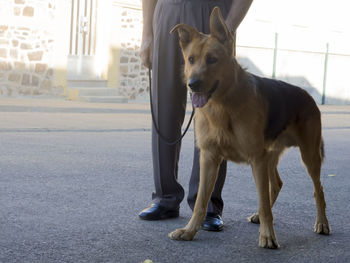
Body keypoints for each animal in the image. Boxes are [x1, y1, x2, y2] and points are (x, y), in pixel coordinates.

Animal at [168, 6, 330, 250]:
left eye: (212, 59)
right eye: (191, 59)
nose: (192, 84)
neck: (223, 106)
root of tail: (308, 95)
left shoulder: (256, 159)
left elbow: (263, 203)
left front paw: (268, 236)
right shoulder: (209, 158)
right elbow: (200, 202)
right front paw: (189, 231)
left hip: (308, 156)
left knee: (317, 190)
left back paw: (322, 223)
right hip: (270, 157)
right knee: (277, 184)